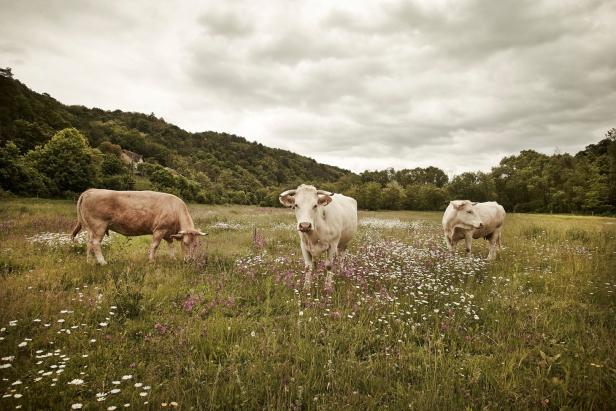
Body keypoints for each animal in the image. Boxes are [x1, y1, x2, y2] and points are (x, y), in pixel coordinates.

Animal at [69, 189, 205, 266]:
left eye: (196, 245)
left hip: (90, 228)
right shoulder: (160, 229)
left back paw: (90, 261)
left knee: (89, 243)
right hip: (99, 225)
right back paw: (102, 262)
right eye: (185, 243)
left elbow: (170, 246)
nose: (190, 261)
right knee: (96, 243)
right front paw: (151, 261)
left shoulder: (168, 233)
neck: (175, 209)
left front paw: (173, 258)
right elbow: (154, 245)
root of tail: (90, 191)